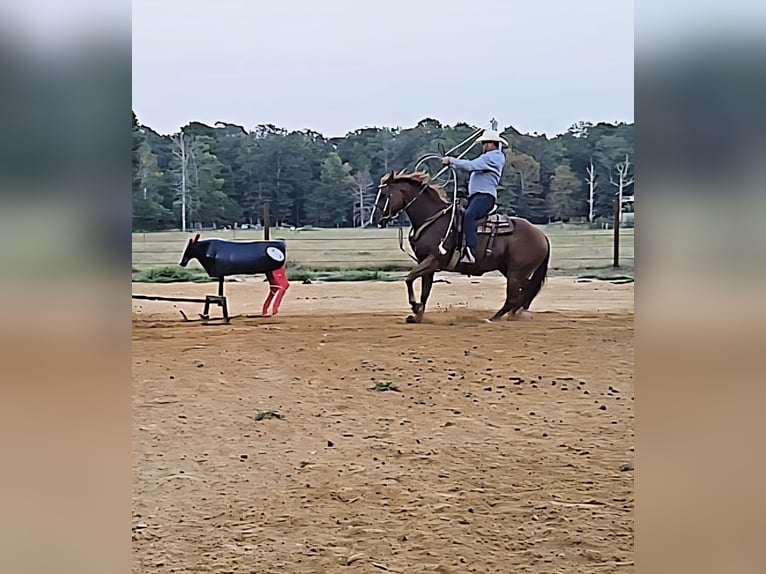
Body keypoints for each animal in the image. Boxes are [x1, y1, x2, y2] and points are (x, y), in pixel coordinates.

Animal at [371, 170, 551, 323]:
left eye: (384, 194)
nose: (375, 219)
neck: (433, 219)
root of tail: (541, 236)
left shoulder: (433, 260)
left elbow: (409, 278)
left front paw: (415, 307)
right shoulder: (425, 264)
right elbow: (425, 291)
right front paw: (418, 315)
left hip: (516, 272)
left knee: (514, 297)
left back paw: (494, 318)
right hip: (512, 270)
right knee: (524, 292)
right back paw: (515, 314)